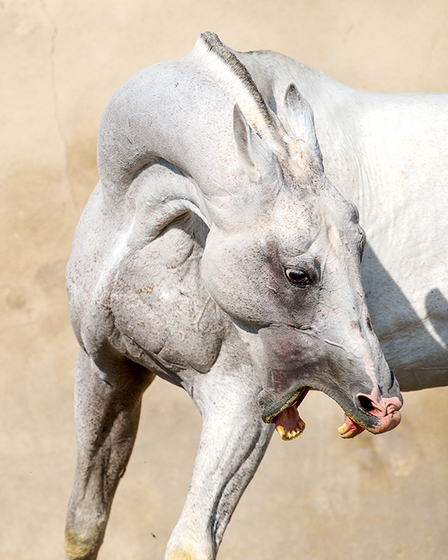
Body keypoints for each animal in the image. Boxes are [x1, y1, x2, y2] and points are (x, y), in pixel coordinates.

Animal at [65, 32, 446, 556]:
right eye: (297, 274)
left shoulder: (239, 409)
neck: (139, 233)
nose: (383, 404)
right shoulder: (106, 370)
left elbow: (190, 542)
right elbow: (84, 525)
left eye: (361, 247)